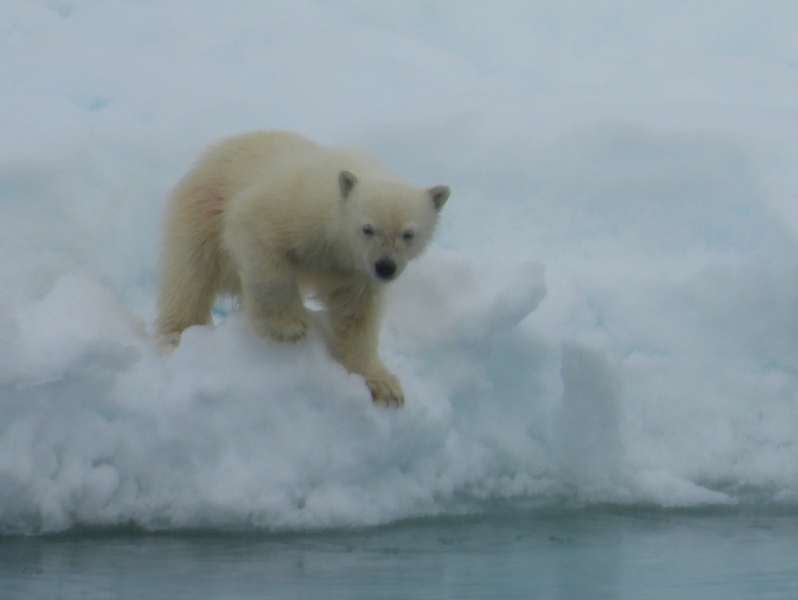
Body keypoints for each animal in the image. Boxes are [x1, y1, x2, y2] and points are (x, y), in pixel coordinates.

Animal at [158, 129, 450, 406]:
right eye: (367, 228)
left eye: (408, 233)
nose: (385, 266)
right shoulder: (299, 208)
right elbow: (256, 231)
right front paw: (286, 327)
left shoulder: (356, 269)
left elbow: (356, 314)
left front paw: (384, 387)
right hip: (202, 210)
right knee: (190, 276)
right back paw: (178, 334)